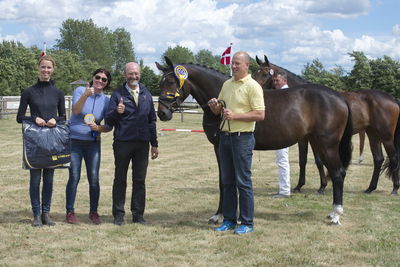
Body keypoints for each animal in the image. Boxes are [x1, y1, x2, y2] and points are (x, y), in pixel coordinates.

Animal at [156, 57, 354, 226]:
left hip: (327, 145)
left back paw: (336, 215)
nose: (162, 113)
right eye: (160, 83)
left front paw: (224, 216)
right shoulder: (221, 149)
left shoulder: (223, 148)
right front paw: (220, 215)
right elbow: (225, 181)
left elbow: (228, 181)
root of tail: (339, 97)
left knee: (338, 173)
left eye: (171, 82)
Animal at [255, 55, 400, 197]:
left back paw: (394, 189)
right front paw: (301, 186)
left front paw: (321, 187)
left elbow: (317, 161)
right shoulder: (307, 138)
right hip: (373, 133)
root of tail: (392, 99)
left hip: (386, 136)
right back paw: (370, 188)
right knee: (378, 159)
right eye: (255, 73)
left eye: (265, 74)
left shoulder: (310, 139)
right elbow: (304, 160)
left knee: (393, 158)